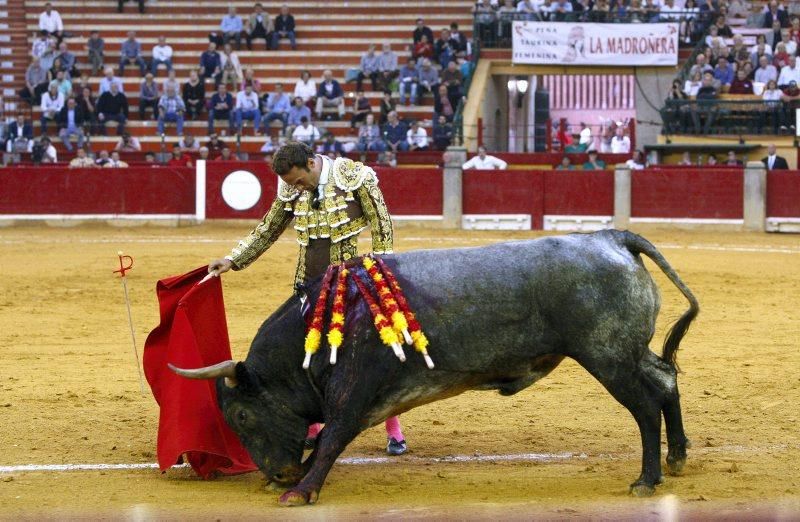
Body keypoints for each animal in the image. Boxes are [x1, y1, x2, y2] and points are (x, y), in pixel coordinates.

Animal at [172, 228, 696, 504]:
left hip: (607, 357)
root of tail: (612, 236)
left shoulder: (353, 392)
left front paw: (301, 490)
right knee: (665, 380)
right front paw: (298, 480)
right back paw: (676, 458)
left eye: (241, 415)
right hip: (627, 353)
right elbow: (321, 439)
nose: (277, 474)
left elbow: (330, 438)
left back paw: (646, 480)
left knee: (644, 406)